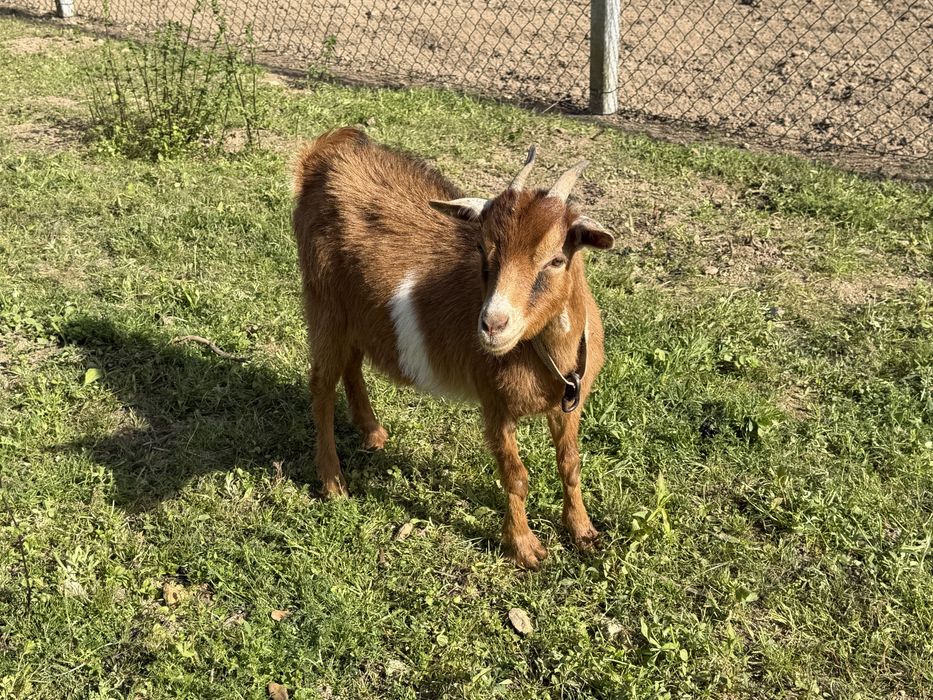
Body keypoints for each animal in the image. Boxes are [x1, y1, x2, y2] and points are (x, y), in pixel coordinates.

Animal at [292, 128, 613, 568]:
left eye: (556, 259)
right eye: (482, 250)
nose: (492, 325)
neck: (545, 356)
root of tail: (325, 151)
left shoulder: (570, 404)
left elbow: (571, 463)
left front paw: (583, 531)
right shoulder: (494, 403)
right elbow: (516, 476)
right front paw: (525, 547)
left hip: (356, 314)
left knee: (351, 364)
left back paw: (373, 432)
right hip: (324, 304)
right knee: (322, 386)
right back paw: (332, 481)